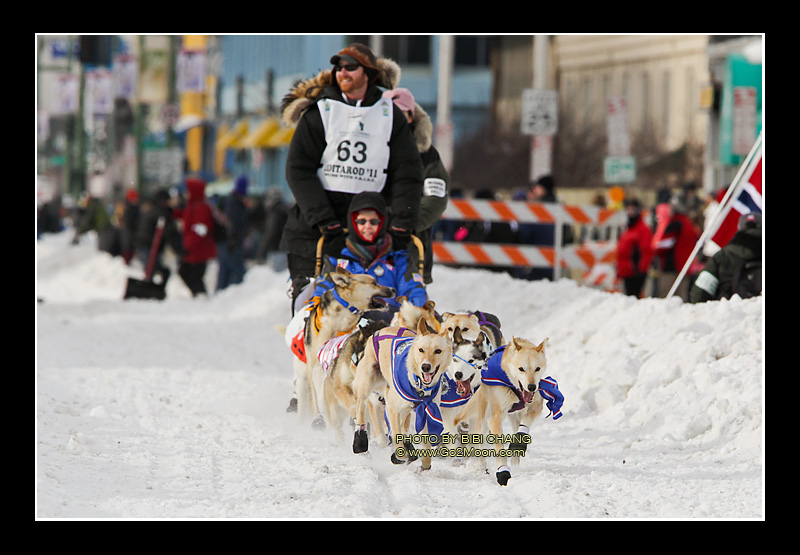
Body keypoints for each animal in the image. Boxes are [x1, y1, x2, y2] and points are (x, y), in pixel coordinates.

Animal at [354, 320, 454, 472]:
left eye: (438, 351)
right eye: (421, 350)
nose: (425, 366)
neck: (419, 385)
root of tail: (381, 330)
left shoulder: (426, 410)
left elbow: (425, 445)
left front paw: (424, 465)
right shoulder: (392, 408)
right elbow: (396, 434)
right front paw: (400, 456)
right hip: (366, 383)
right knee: (360, 405)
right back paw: (360, 440)